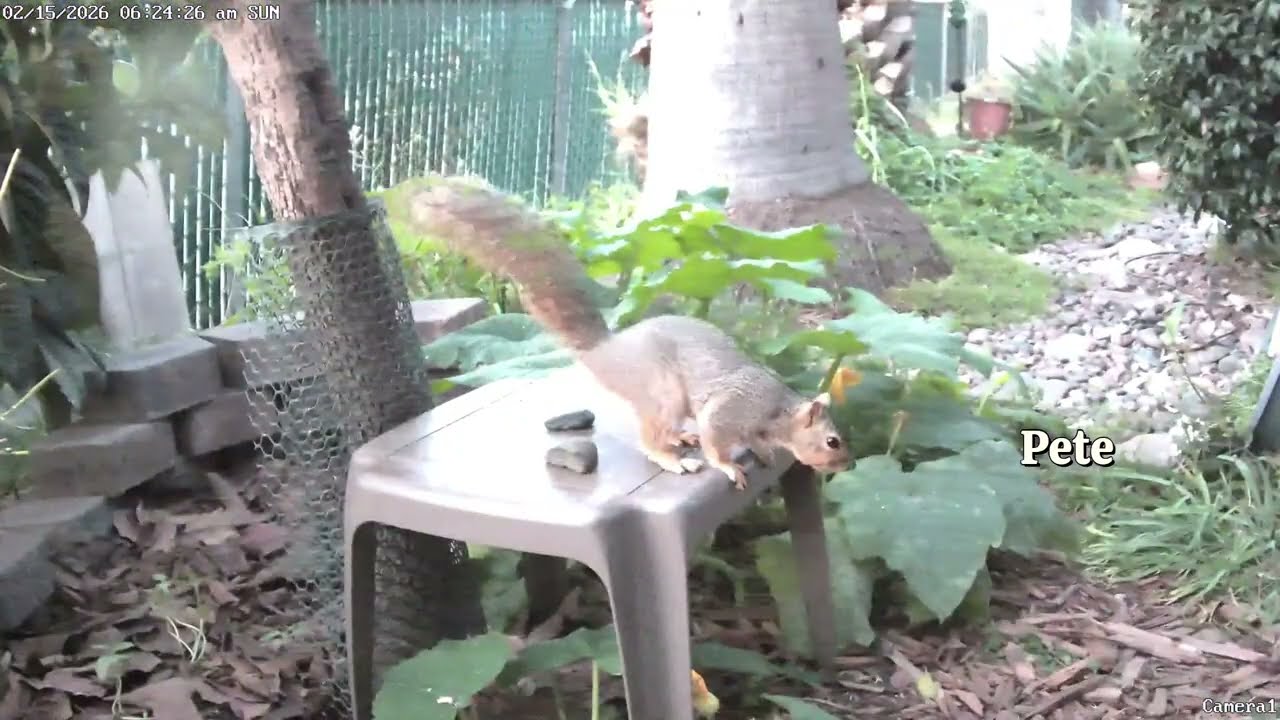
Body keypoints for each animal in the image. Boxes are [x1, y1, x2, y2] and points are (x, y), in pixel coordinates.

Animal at [407, 178, 851, 490]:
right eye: (833, 441)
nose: (849, 464)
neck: (776, 410)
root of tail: (608, 351)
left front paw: (762, 453)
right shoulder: (730, 411)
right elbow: (716, 441)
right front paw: (727, 466)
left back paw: (680, 439)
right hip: (664, 393)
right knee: (649, 441)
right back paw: (673, 458)